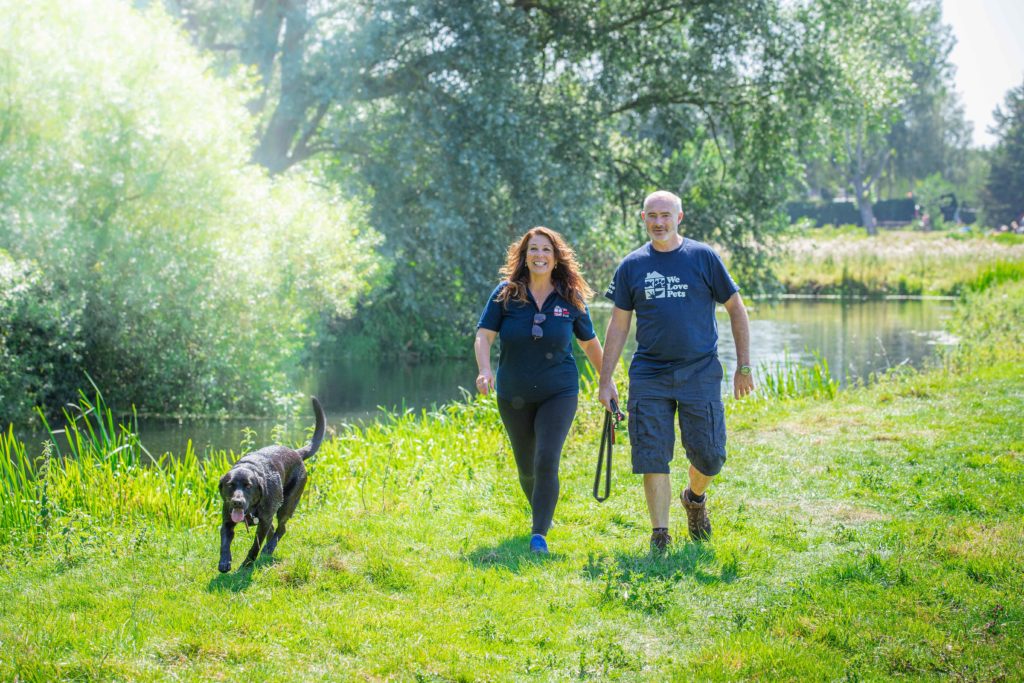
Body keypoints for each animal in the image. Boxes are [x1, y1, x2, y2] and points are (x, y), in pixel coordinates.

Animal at [216, 395, 323, 573]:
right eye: (230, 485)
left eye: (248, 486)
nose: (237, 502)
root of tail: (296, 453)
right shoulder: (227, 520)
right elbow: (224, 542)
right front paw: (224, 562)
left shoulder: (264, 521)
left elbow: (255, 545)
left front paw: (247, 564)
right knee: (274, 529)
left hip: (287, 505)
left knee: (281, 528)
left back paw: (269, 547)